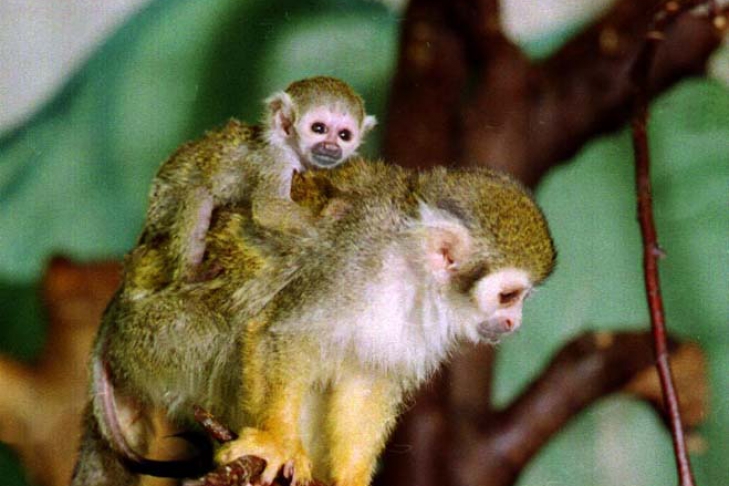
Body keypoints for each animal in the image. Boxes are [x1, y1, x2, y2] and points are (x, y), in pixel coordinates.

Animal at [71, 159, 556, 486]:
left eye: (521, 300)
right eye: (508, 296)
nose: (513, 321)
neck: (412, 276)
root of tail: (110, 325)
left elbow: (367, 382)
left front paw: (351, 479)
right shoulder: (347, 266)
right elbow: (279, 334)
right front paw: (277, 442)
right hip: (157, 338)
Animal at [136, 76, 376, 286]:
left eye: (344, 135)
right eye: (319, 129)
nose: (331, 148)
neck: (293, 149)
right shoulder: (277, 159)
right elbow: (266, 207)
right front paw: (327, 215)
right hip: (166, 200)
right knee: (198, 194)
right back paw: (190, 272)